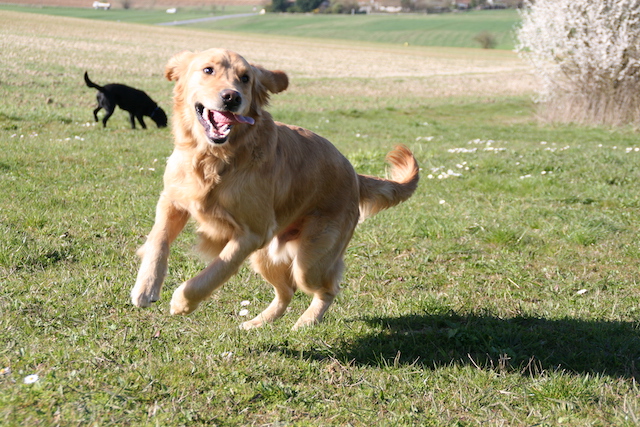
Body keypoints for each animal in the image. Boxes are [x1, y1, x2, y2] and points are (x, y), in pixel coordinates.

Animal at [131, 49, 420, 332]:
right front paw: (145, 287)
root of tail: (355, 175)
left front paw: (183, 301)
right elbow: (158, 240)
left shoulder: (251, 234)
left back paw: (306, 321)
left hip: (309, 260)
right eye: (208, 70)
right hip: (267, 255)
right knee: (286, 292)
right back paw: (257, 321)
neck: (215, 158)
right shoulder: (172, 200)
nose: (231, 97)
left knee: (326, 289)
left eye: (245, 78)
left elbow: (217, 269)